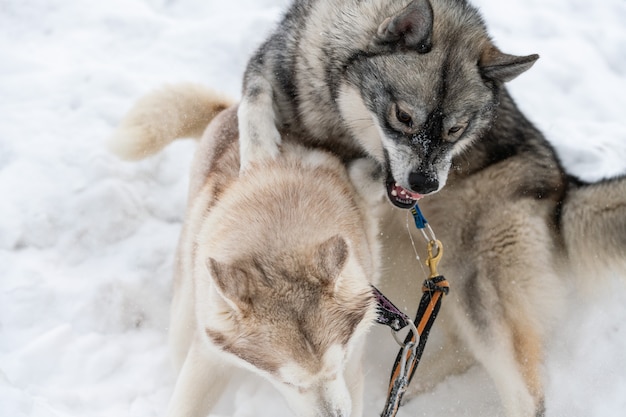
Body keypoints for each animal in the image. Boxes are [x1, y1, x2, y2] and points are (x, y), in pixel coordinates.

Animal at [109, 83, 382, 416]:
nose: (335, 416)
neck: (278, 234)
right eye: (289, 382)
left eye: (338, 364)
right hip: (186, 315)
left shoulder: (353, 357)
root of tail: (230, 108)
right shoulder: (208, 356)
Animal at [235, 0, 624, 416]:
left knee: (524, 391)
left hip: (480, 289)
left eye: (456, 130)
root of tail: (561, 185)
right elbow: (253, 102)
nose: (426, 184)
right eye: (403, 116)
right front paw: (257, 160)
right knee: (438, 346)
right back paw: (404, 385)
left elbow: (364, 172)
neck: (338, 123)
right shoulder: (274, 63)